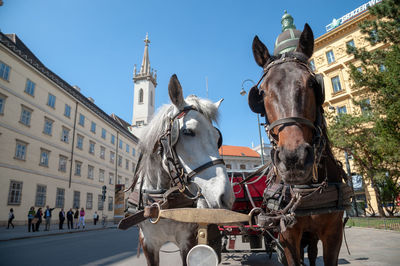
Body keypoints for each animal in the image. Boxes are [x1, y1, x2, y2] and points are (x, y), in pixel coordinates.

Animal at [134, 74, 234, 264]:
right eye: (188, 132)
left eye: (218, 137)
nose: (227, 197)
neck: (162, 202)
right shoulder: (147, 243)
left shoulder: (188, 241)